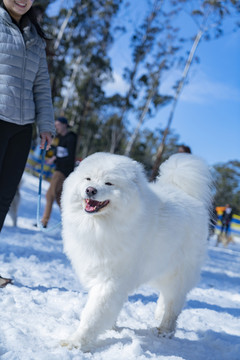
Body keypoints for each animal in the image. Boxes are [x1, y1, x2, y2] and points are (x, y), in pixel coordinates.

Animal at [60, 152, 212, 352]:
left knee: (174, 304)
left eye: (109, 183)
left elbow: (93, 314)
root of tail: (188, 196)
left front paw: (75, 342)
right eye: (88, 178)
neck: (100, 225)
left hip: (178, 273)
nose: (90, 190)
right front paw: (111, 327)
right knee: (166, 298)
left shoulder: (109, 280)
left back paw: (165, 330)